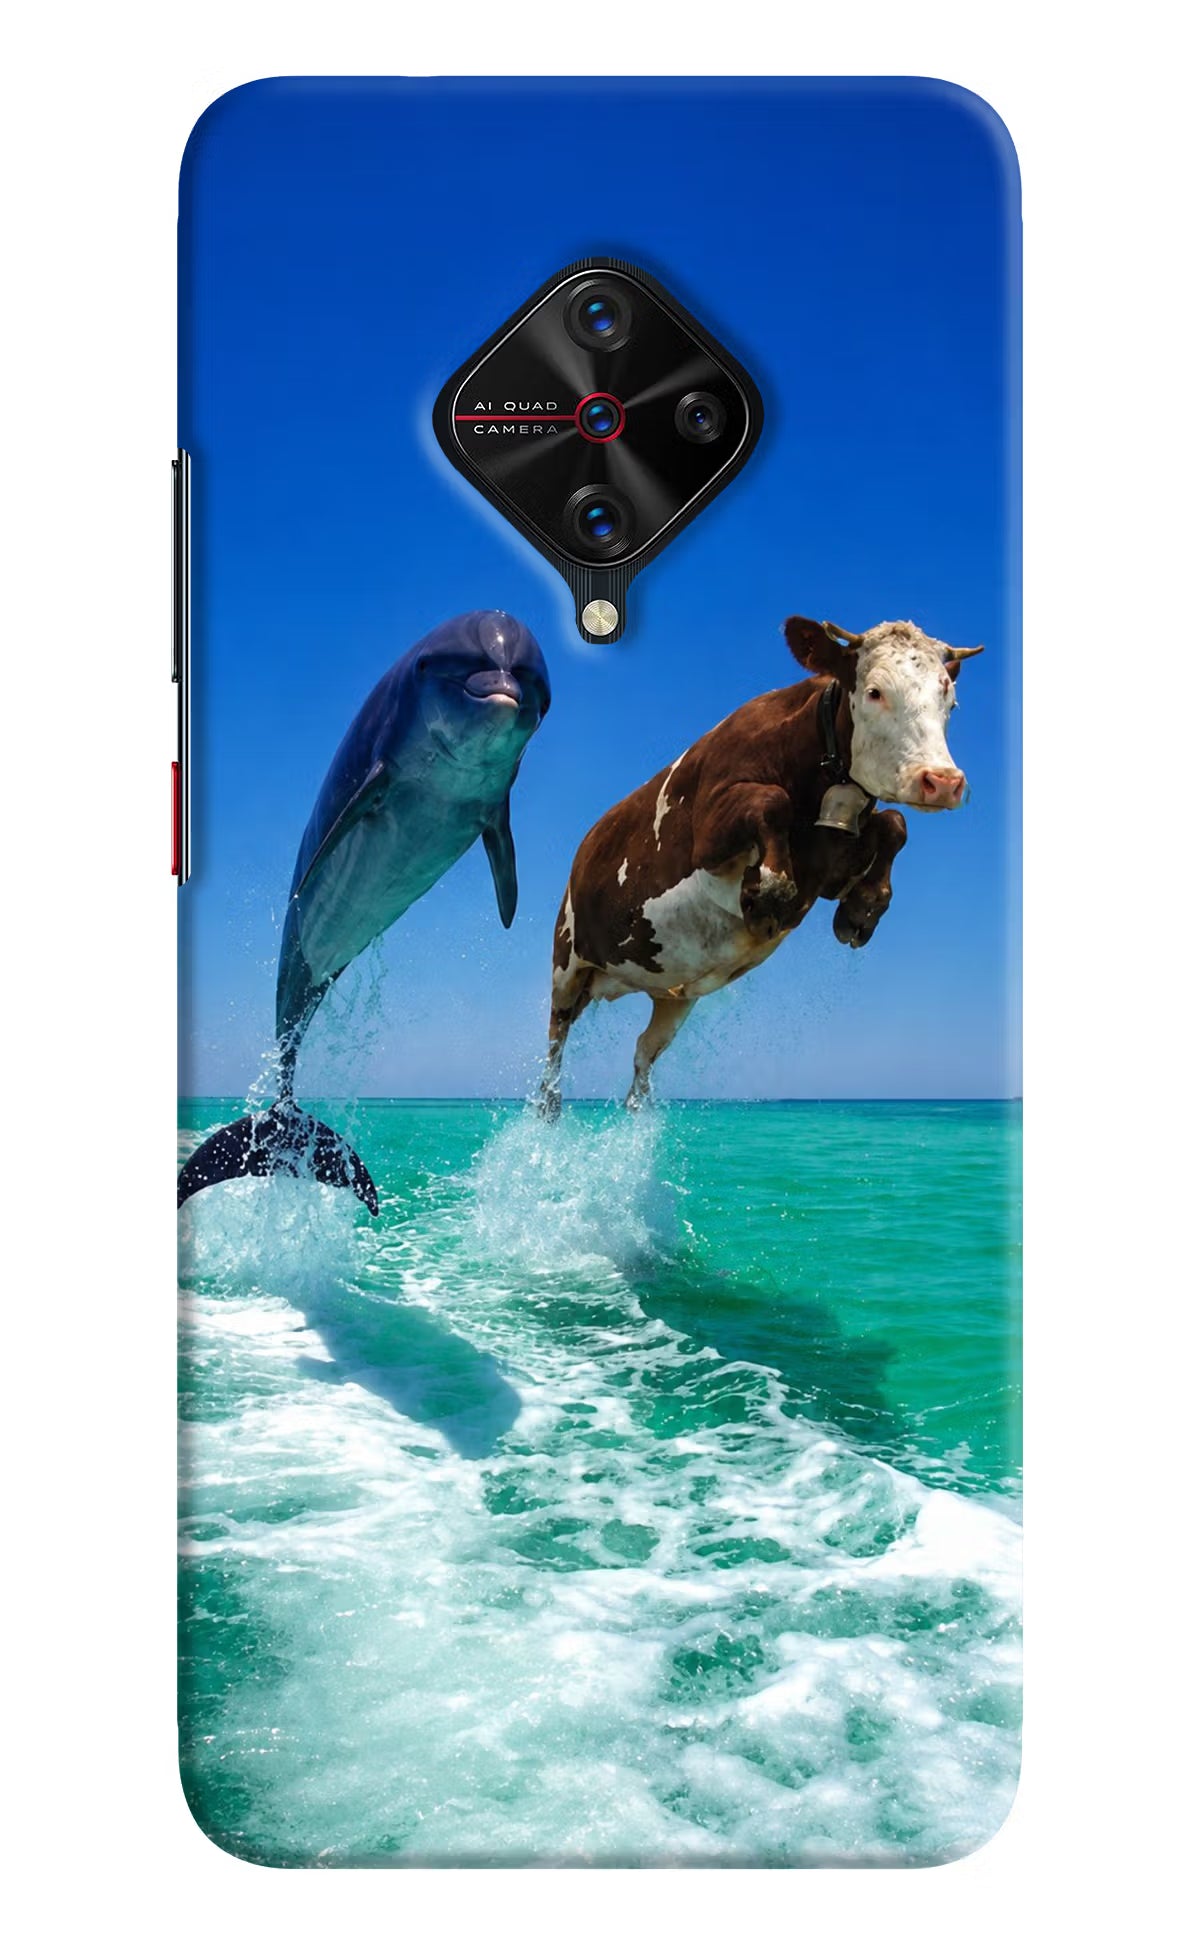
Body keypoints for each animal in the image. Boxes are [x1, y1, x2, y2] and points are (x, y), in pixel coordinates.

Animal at [537, 615, 984, 1115]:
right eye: (874, 691)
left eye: (950, 699)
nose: (942, 782)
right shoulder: (709, 832)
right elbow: (772, 802)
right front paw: (768, 893)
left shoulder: (830, 866)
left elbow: (894, 823)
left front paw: (862, 909)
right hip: (566, 962)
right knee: (554, 1044)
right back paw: (549, 1106)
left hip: (673, 995)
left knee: (642, 1053)